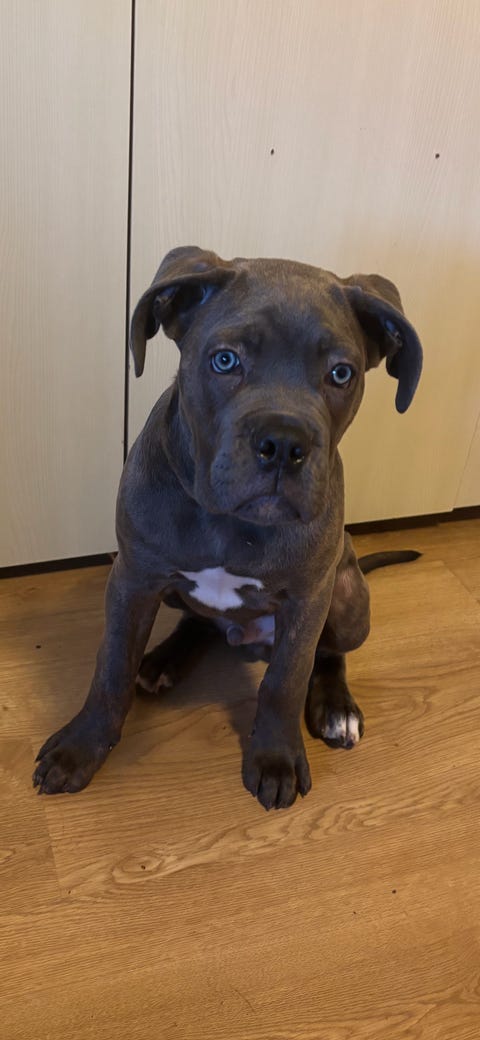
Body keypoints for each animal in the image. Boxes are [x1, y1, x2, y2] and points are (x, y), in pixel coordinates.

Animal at [33, 247, 423, 809]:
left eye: (341, 373)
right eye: (225, 360)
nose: (283, 444)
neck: (230, 521)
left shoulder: (308, 598)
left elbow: (286, 680)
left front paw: (276, 758)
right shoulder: (132, 578)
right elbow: (110, 667)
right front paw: (81, 748)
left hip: (348, 594)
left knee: (328, 653)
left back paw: (336, 709)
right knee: (197, 622)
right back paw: (161, 661)